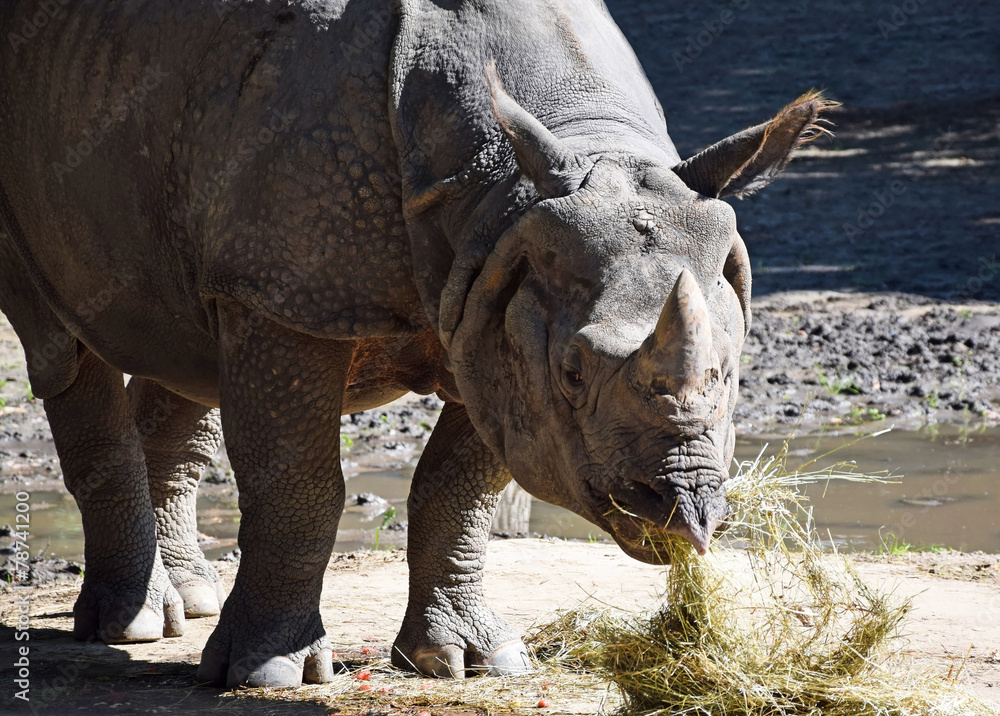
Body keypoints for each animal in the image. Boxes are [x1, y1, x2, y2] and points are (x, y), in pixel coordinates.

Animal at [0, 0, 832, 688]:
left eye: (729, 373)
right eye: (571, 371)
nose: (682, 514)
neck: (518, 178)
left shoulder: (491, 288)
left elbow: (460, 486)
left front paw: (466, 660)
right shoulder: (290, 294)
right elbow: (299, 483)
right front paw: (270, 674)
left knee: (188, 335)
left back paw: (190, 600)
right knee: (62, 345)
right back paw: (134, 625)